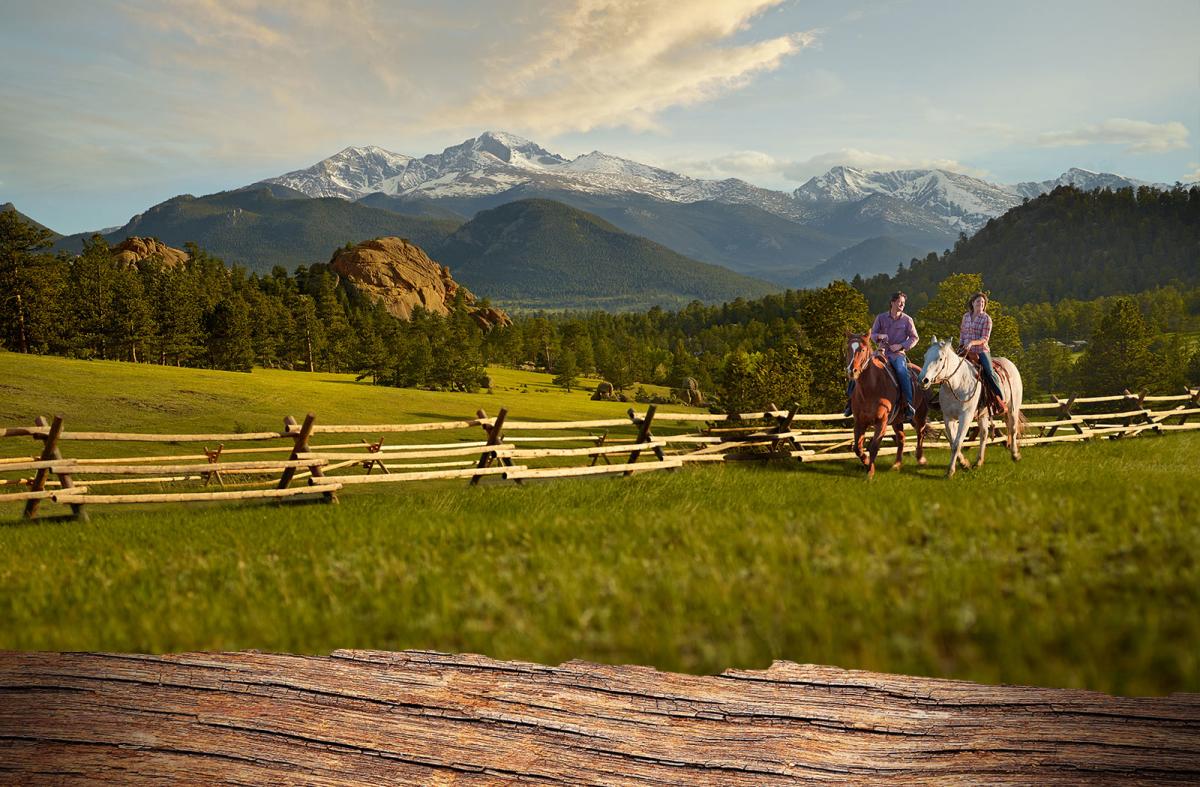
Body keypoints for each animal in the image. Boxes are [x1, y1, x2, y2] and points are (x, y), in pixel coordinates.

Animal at [844, 328, 926, 477]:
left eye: (863, 349)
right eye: (848, 348)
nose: (852, 371)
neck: (871, 388)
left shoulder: (881, 422)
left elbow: (874, 446)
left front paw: (870, 471)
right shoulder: (859, 422)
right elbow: (858, 448)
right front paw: (866, 463)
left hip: (920, 414)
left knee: (920, 434)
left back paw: (920, 458)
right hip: (897, 421)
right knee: (901, 438)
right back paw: (896, 464)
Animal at [916, 335, 1022, 477]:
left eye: (940, 358)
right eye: (925, 356)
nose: (923, 380)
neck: (957, 383)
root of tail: (1009, 363)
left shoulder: (965, 417)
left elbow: (957, 442)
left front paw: (951, 471)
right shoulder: (948, 417)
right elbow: (953, 442)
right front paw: (964, 463)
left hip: (1013, 408)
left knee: (1013, 429)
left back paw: (1015, 455)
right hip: (983, 414)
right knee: (984, 434)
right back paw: (978, 462)